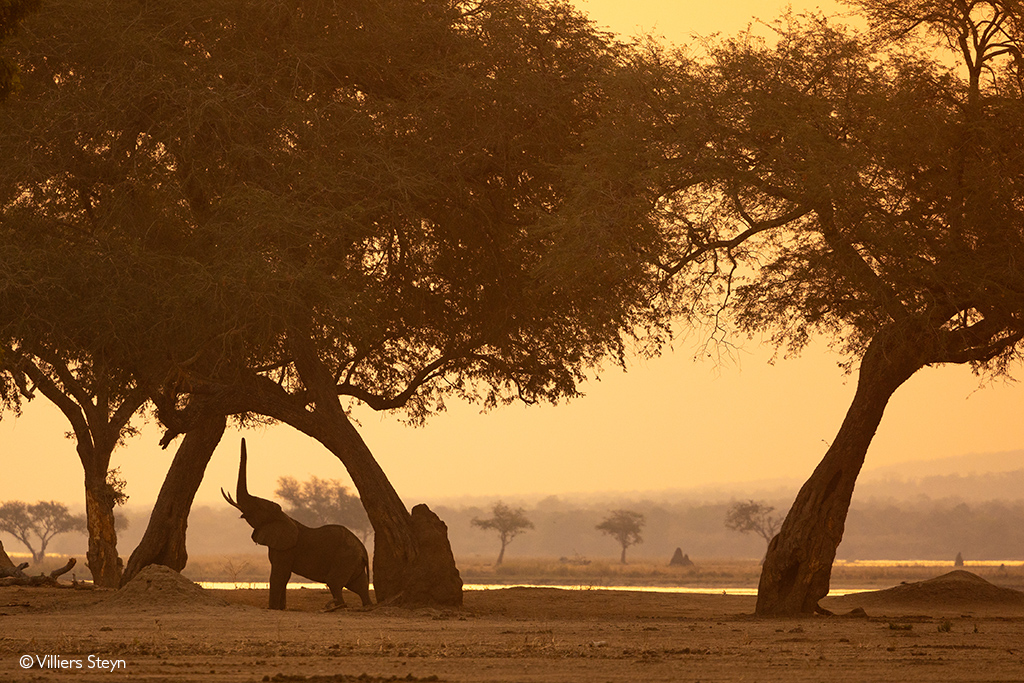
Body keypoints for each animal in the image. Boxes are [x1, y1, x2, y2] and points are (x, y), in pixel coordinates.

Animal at [220, 440, 372, 610]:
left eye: (258, 507)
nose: (243, 438)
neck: (284, 516)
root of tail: (364, 550)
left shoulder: (286, 548)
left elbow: (279, 575)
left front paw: (273, 608)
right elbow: (284, 576)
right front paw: (281, 608)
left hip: (345, 558)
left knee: (335, 583)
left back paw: (335, 607)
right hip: (353, 562)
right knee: (359, 585)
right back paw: (366, 606)